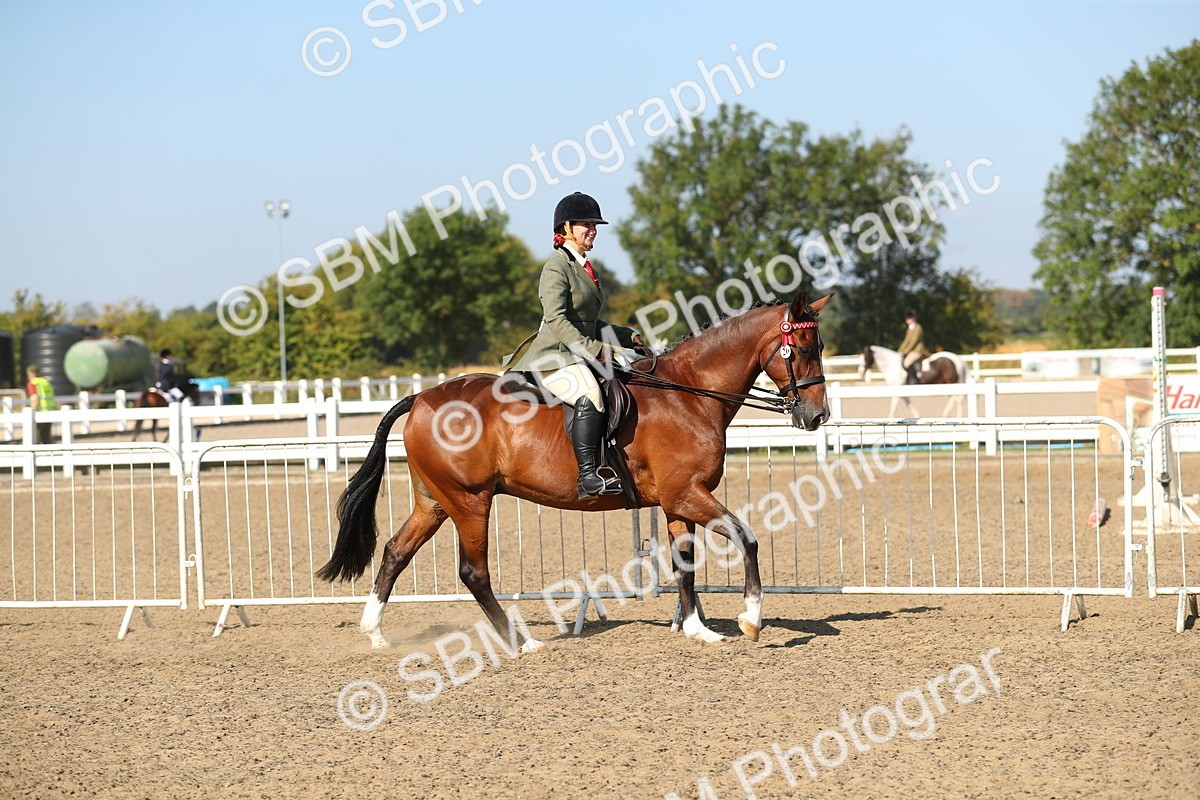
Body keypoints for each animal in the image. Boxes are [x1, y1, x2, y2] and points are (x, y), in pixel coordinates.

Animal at [317, 292, 832, 651]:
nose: (817, 416)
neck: (689, 394)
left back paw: (375, 633)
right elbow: (747, 537)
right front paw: (751, 619)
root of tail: (421, 398)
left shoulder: (678, 500)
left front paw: (696, 629)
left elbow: (684, 564)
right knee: (473, 572)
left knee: (395, 552)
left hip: (435, 501)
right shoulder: (687, 494)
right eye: (803, 348)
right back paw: (521, 642)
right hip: (469, 501)